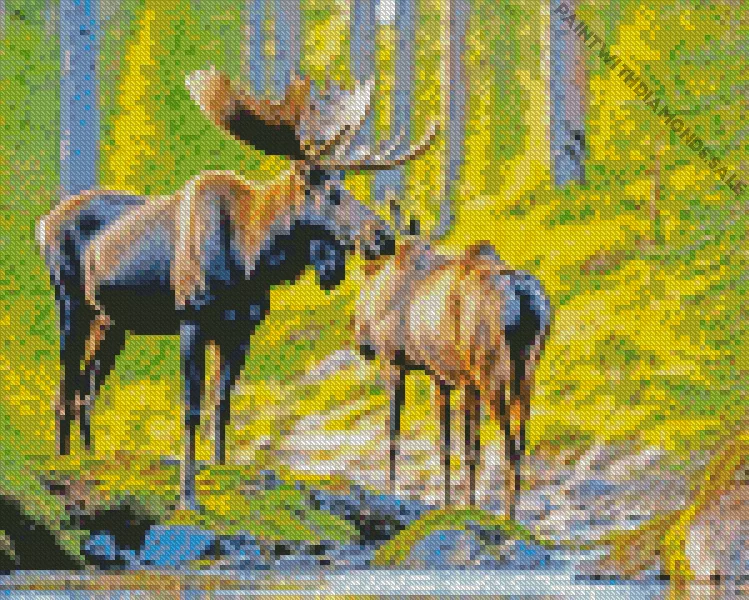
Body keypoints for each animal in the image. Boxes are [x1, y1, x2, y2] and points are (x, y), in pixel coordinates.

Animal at [37, 67, 439, 509]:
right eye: (332, 194)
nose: (383, 236)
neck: (252, 259)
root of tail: (42, 224)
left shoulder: (240, 331)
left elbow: (223, 406)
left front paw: (219, 471)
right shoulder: (192, 319)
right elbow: (191, 408)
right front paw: (187, 496)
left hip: (113, 322)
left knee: (86, 388)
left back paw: (90, 461)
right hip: (70, 302)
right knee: (65, 387)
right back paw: (62, 463)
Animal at [354, 218, 551, 520]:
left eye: (364, 276)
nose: (360, 339)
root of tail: (522, 295)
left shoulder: (396, 363)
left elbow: (395, 434)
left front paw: (394, 490)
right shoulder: (449, 378)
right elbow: (454, 447)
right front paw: (457, 503)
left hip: (491, 373)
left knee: (508, 441)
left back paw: (508, 515)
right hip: (525, 371)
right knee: (520, 437)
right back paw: (512, 511)